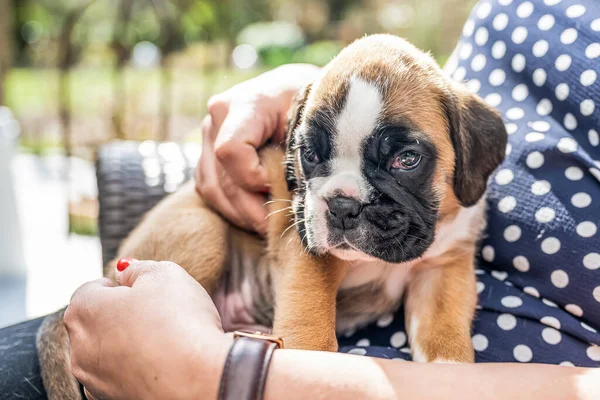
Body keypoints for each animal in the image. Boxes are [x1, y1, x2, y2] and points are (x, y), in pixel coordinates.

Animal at [37, 32, 506, 398]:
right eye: (309, 154)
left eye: (407, 159)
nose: (343, 205)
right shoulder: (305, 252)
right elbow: (312, 330)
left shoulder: (443, 270)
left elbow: (445, 340)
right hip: (204, 230)